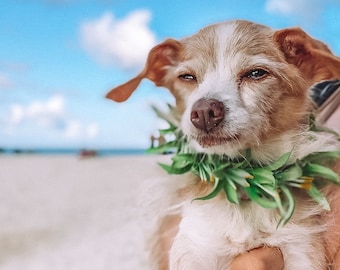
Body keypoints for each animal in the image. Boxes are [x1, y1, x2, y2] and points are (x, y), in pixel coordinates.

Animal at [107, 20, 340, 270]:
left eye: (256, 73)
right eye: (187, 77)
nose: (204, 112)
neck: (245, 184)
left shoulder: (301, 248)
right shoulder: (196, 250)